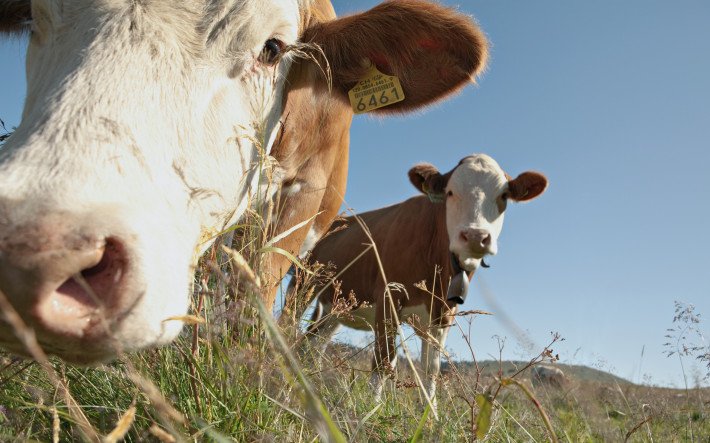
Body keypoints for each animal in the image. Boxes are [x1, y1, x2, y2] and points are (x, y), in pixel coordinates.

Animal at [304, 155, 548, 406]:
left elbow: (430, 369)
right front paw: (372, 409)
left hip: (336, 306)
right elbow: (384, 360)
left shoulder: (443, 314)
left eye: (503, 195)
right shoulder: (388, 296)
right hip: (303, 281)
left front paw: (431, 413)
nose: (475, 236)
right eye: (450, 192)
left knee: (316, 342)